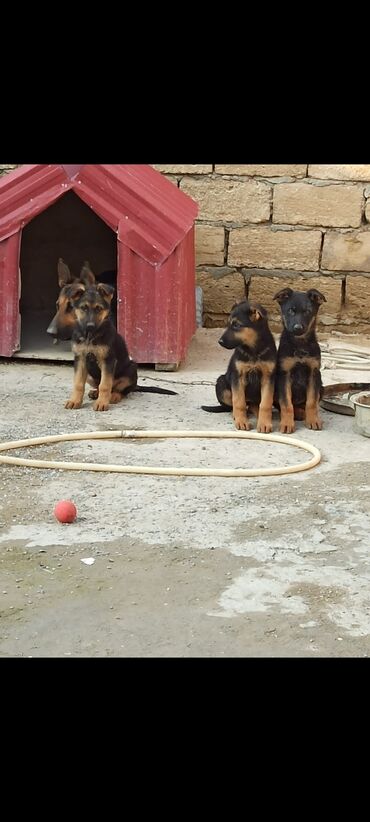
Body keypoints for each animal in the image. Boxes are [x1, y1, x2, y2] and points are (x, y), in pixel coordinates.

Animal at [64, 284, 176, 412]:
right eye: (84, 308)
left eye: (98, 308)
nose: (90, 326)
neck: (90, 337)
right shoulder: (80, 359)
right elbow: (78, 383)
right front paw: (75, 401)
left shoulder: (108, 360)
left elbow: (105, 385)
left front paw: (102, 403)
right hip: (89, 376)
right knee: (100, 385)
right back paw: (95, 393)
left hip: (131, 370)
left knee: (122, 390)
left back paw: (114, 396)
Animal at [202, 300, 278, 432]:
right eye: (228, 324)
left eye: (237, 325)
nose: (220, 342)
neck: (253, 350)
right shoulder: (238, 377)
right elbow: (239, 402)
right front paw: (242, 421)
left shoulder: (268, 378)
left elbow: (265, 403)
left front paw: (264, 423)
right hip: (221, 383)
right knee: (233, 405)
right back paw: (236, 415)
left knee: (253, 405)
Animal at [272, 286, 326, 434]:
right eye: (291, 310)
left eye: (307, 311)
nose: (298, 328)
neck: (300, 344)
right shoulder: (284, 374)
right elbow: (286, 404)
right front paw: (287, 424)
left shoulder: (314, 373)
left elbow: (312, 402)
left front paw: (313, 420)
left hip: (321, 386)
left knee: (307, 404)